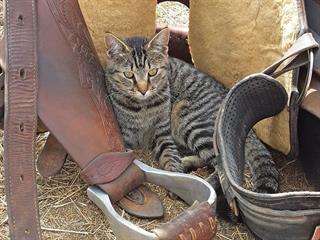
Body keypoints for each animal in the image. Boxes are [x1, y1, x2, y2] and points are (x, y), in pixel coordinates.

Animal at [104, 28, 278, 193]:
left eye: (152, 72)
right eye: (128, 74)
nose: (143, 90)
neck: (142, 107)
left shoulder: (163, 133)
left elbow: (170, 157)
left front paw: (177, 180)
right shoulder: (124, 137)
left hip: (189, 120)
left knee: (225, 169)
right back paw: (187, 163)